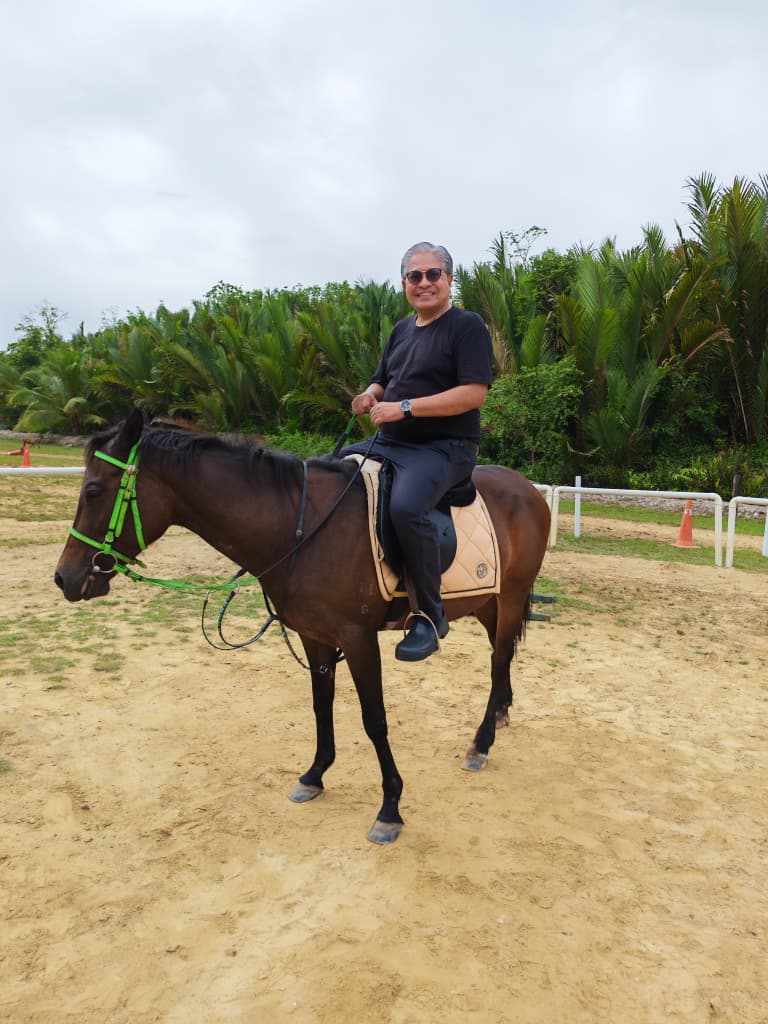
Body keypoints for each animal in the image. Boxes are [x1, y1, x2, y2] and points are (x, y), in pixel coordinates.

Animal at [54, 409, 551, 844]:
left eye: (94, 490)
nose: (64, 577)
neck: (299, 527)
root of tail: (527, 488)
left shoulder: (358, 639)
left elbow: (374, 720)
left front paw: (390, 807)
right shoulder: (314, 636)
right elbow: (320, 706)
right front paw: (315, 774)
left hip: (508, 598)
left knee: (498, 658)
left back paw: (481, 743)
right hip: (487, 603)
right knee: (502, 658)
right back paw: (500, 714)